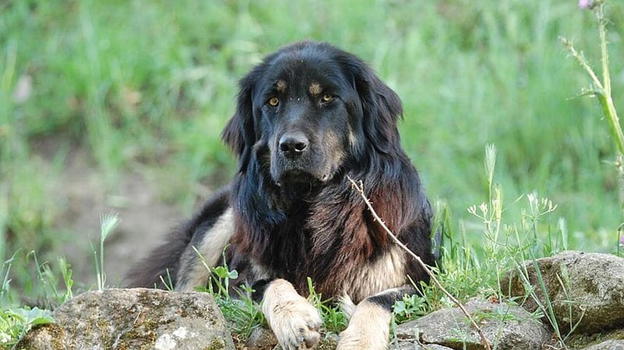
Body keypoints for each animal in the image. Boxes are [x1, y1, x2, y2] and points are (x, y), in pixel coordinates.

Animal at [127, 41, 436, 350]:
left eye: (327, 97)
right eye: (273, 102)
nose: (291, 146)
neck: (311, 202)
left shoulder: (418, 280)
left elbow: (376, 300)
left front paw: (360, 341)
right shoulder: (242, 278)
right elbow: (267, 284)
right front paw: (294, 316)